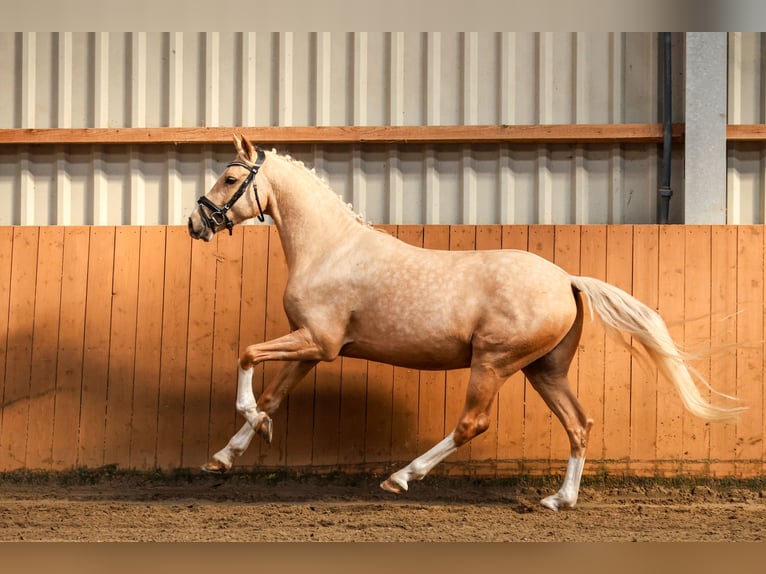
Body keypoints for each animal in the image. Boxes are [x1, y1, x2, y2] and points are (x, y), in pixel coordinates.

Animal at [187, 134, 745, 511]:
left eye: (231, 179)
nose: (196, 223)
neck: (329, 249)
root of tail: (567, 279)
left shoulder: (316, 342)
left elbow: (247, 357)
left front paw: (248, 429)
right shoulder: (311, 349)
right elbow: (271, 396)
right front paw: (227, 454)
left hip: (494, 363)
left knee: (472, 423)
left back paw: (402, 477)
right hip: (544, 370)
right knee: (578, 423)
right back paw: (558, 501)